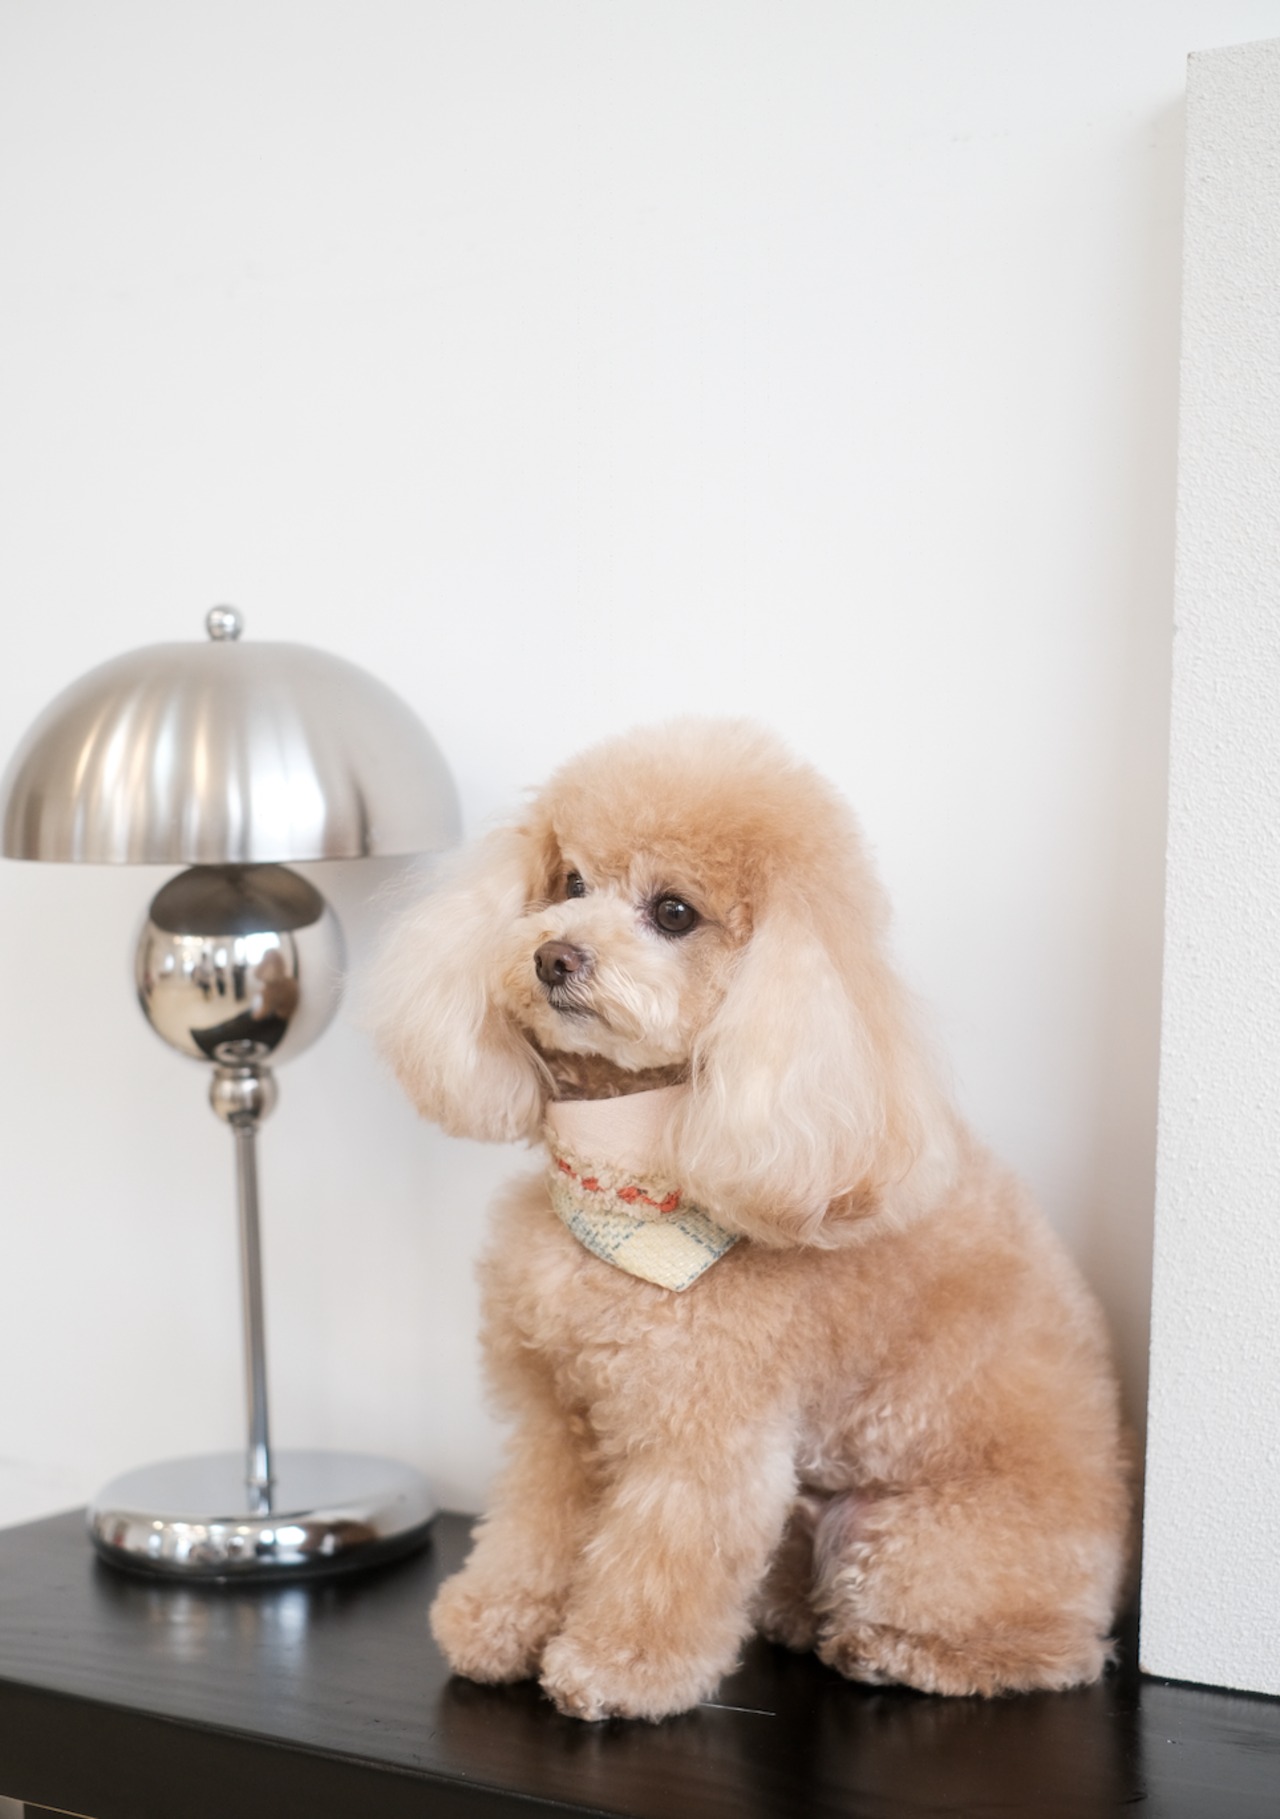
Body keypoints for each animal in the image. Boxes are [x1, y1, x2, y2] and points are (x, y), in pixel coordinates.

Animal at [374, 719, 1130, 1721]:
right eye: (570, 883)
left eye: (674, 913)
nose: (553, 956)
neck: (620, 1181)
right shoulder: (560, 1413)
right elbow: (536, 1522)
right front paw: (498, 1623)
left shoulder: (705, 1432)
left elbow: (664, 1560)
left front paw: (615, 1668)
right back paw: (794, 1616)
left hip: (922, 1543)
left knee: (1052, 1650)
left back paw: (894, 1650)